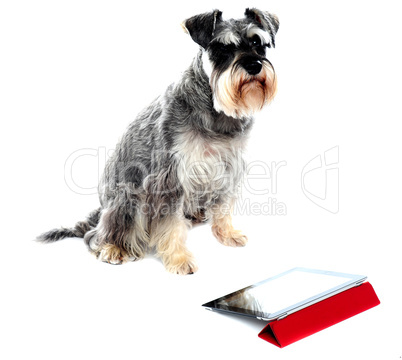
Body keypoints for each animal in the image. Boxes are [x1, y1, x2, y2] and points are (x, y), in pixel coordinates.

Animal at [37, 8, 280, 274]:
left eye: (258, 43)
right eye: (221, 48)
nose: (254, 65)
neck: (214, 108)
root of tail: (102, 207)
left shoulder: (228, 167)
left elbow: (223, 206)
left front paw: (227, 233)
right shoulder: (170, 178)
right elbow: (171, 223)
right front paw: (179, 259)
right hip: (127, 198)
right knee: (97, 234)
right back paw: (113, 248)